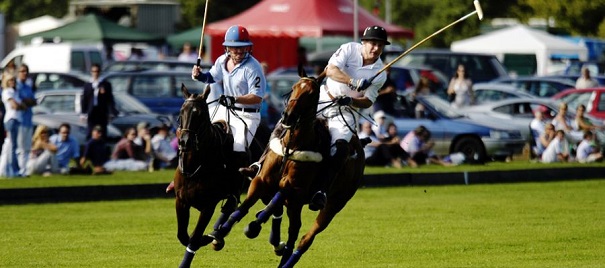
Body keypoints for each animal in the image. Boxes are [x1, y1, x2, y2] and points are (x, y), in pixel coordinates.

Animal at [172, 85, 241, 268]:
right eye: (181, 112)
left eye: (201, 114)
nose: (185, 142)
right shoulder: (181, 201)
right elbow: (183, 236)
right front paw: (209, 237)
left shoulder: (208, 205)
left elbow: (194, 238)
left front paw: (206, 238)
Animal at [210, 63, 366, 266]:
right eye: (294, 88)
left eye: (311, 94)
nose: (287, 117)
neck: (292, 146)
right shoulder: (262, 180)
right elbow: (244, 206)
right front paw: (220, 233)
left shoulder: (295, 188)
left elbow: (278, 196)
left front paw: (253, 226)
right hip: (296, 204)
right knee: (293, 229)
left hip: (334, 203)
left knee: (304, 237)